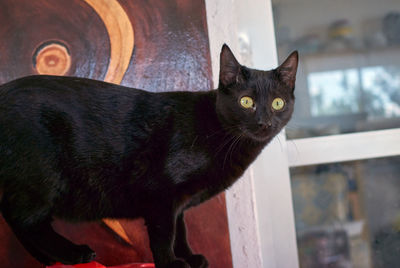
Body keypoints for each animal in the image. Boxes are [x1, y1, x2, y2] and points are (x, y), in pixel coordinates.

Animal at [0, 45, 298, 266]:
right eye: (246, 102)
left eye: (277, 103)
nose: (264, 123)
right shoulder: (160, 193)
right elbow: (164, 234)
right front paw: (171, 263)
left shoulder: (179, 202)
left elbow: (181, 230)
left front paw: (189, 257)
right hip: (39, 178)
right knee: (26, 221)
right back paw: (73, 253)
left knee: (16, 219)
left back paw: (48, 259)